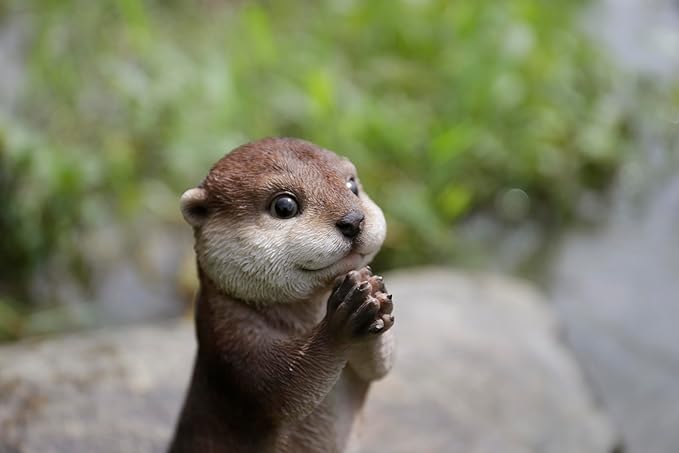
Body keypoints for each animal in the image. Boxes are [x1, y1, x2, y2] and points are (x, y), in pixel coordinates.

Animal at [169, 137, 395, 453]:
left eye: (352, 186)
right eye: (285, 206)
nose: (354, 220)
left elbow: (380, 367)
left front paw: (373, 294)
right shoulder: (230, 342)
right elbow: (283, 389)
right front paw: (342, 322)